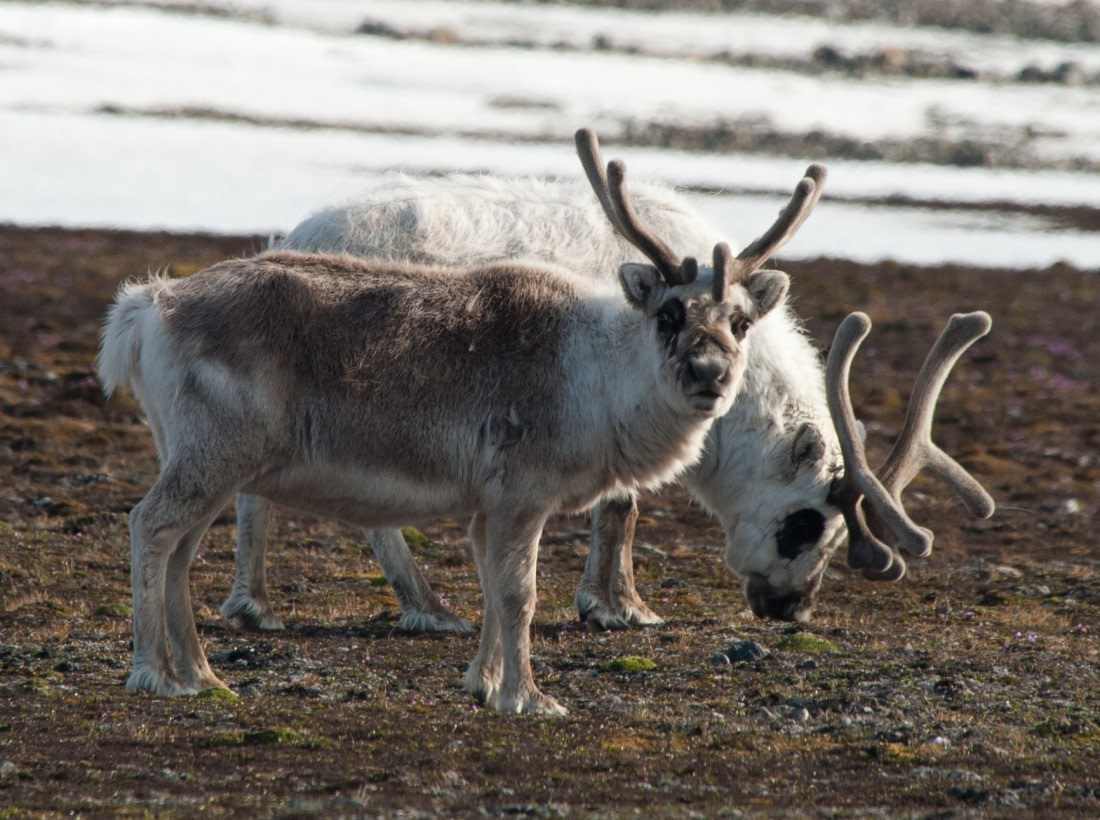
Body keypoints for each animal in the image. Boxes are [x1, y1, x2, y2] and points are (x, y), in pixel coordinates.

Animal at [97, 154, 800, 711]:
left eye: (740, 322)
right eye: (668, 313)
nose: (709, 373)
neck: (600, 374)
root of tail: (147, 306)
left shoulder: (488, 505)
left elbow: (490, 586)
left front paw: (483, 684)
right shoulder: (521, 491)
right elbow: (518, 594)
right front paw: (527, 697)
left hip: (204, 459)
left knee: (181, 550)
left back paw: (200, 676)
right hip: (212, 454)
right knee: (150, 525)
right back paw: (153, 673)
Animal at [221, 129, 995, 636]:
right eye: (807, 523)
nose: (790, 609)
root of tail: (289, 239)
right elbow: (622, 504)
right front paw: (620, 606)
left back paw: (261, 603)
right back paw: (421, 609)